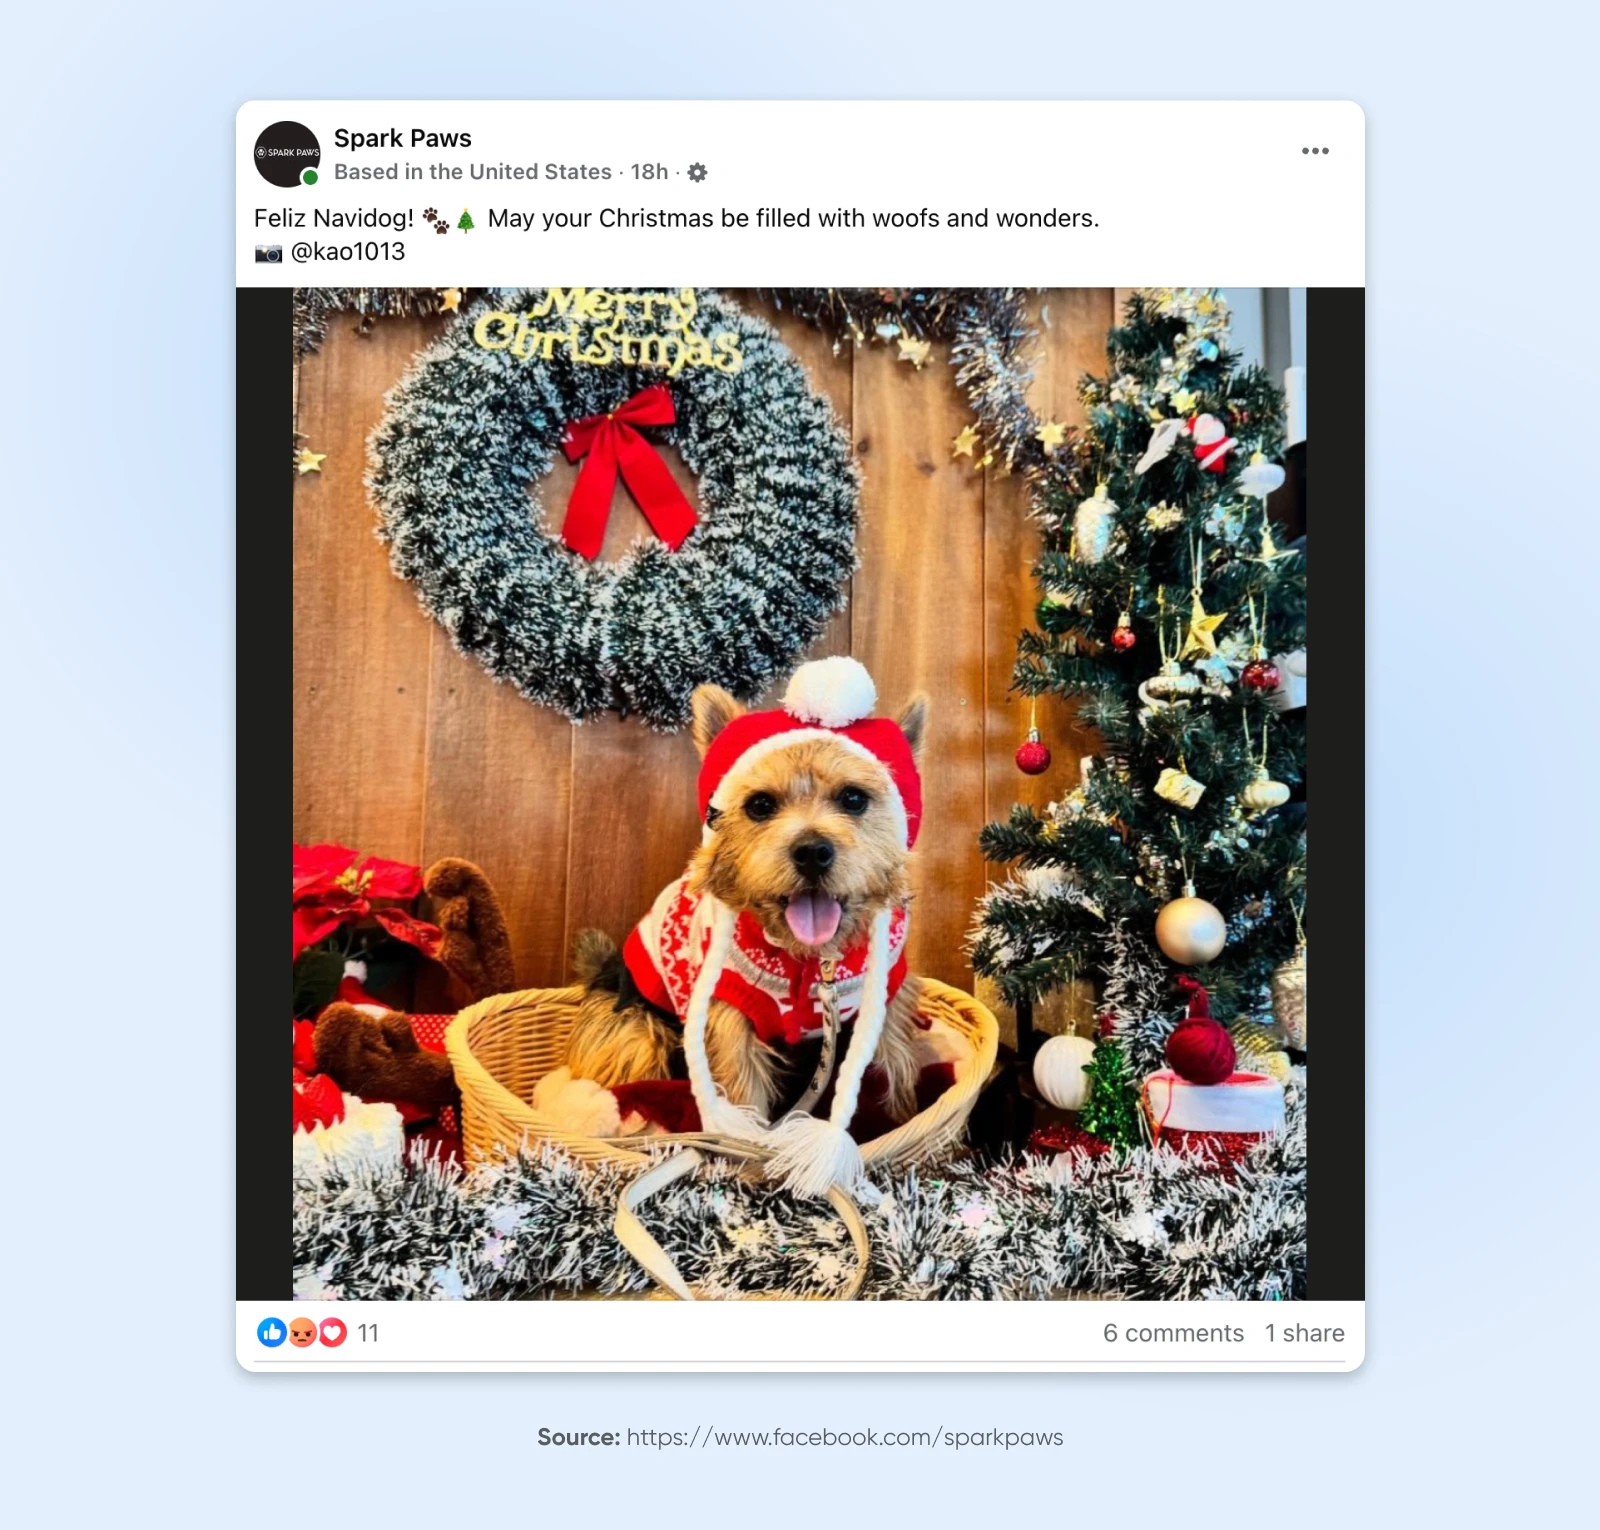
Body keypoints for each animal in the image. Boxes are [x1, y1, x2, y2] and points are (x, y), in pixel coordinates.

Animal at [544, 656, 934, 1197]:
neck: (808, 957)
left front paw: (908, 1127)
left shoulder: (889, 998)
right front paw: (749, 1166)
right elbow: (744, 1093)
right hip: (635, 1028)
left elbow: (894, 1067)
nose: (812, 850)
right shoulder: (731, 1015)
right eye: (760, 805)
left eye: (854, 798)